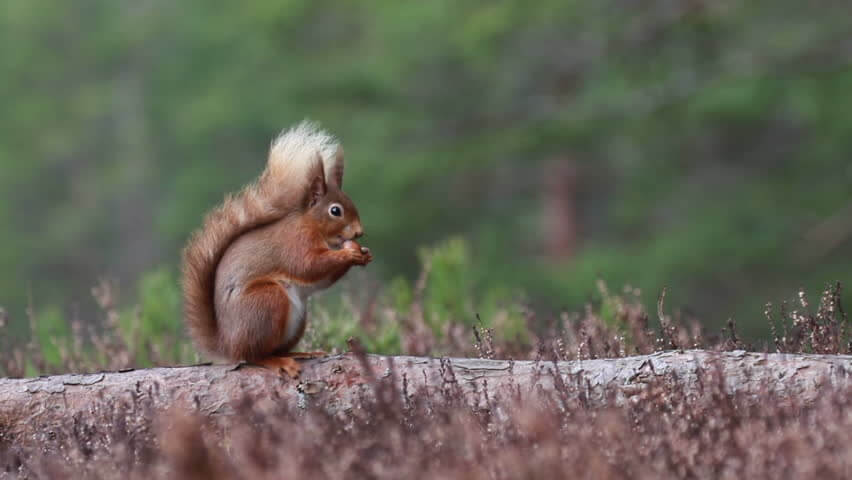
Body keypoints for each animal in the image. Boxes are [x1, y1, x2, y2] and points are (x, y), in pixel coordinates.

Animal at [181, 122, 372, 376]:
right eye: (335, 211)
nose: (359, 232)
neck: (312, 225)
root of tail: (227, 344)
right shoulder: (296, 242)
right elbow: (308, 266)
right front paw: (349, 254)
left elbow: (322, 278)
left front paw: (364, 254)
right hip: (267, 302)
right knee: (254, 355)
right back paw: (277, 362)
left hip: (297, 319)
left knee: (275, 348)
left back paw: (299, 353)